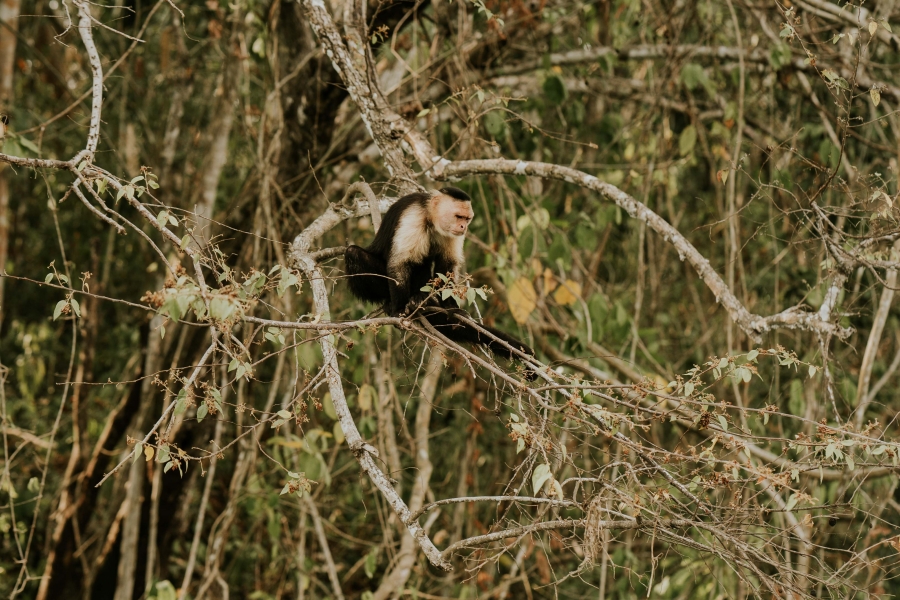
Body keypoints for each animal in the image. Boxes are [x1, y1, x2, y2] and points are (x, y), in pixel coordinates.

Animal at [346, 188, 536, 376]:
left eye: (467, 219)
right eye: (459, 216)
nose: (463, 227)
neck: (430, 219)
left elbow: (447, 266)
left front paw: (452, 308)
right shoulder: (413, 216)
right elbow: (399, 263)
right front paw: (399, 310)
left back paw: (420, 299)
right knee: (353, 253)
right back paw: (392, 302)